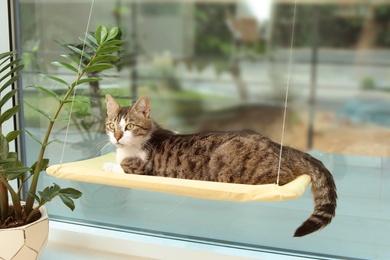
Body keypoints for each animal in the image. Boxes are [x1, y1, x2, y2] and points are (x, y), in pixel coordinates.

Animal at [104, 94, 338, 237]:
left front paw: (110, 166)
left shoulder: (144, 168)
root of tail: (277, 145)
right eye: (112, 126)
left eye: (130, 126)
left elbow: (123, 165)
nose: (117, 137)